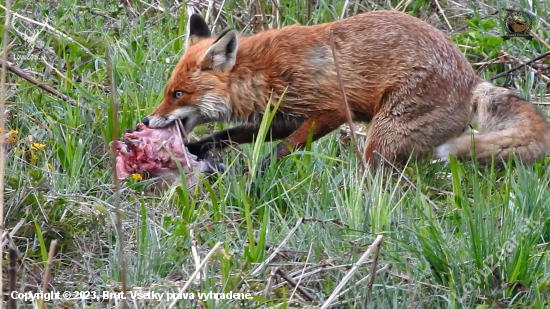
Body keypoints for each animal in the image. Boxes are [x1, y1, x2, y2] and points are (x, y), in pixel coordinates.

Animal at [143, 10, 550, 168]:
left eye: (178, 94)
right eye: (168, 90)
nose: (147, 121)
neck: (264, 72)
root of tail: (472, 80)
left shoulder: (333, 109)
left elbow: (284, 149)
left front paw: (258, 171)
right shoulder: (286, 115)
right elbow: (232, 134)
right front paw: (199, 147)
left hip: (382, 138)